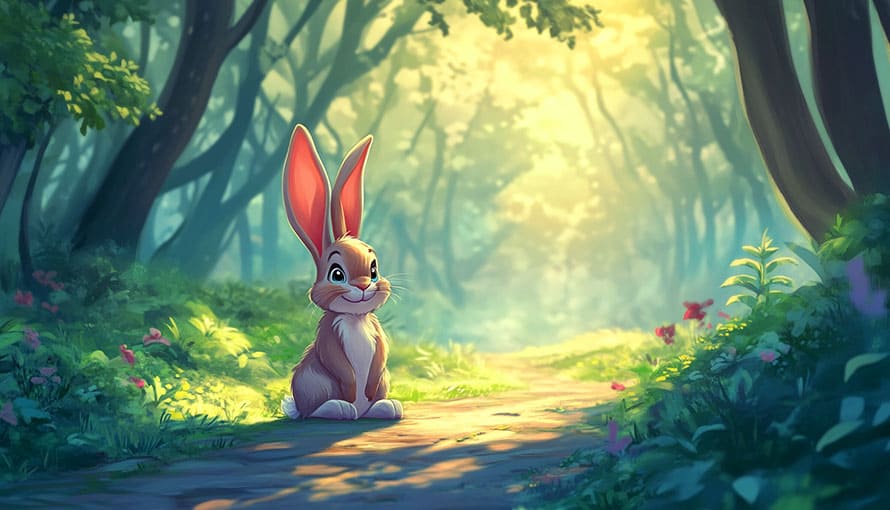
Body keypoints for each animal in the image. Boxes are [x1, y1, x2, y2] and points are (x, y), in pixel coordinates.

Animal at [279, 124, 402, 421]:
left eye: (373, 269)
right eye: (336, 274)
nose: (363, 286)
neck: (355, 319)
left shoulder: (377, 334)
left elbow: (380, 354)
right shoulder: (328, 337)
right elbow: (338, 364)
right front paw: (350, 391)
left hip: (384, 381)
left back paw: (385, 407)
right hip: (312, 381)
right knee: (313, 410)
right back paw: (341, 408)